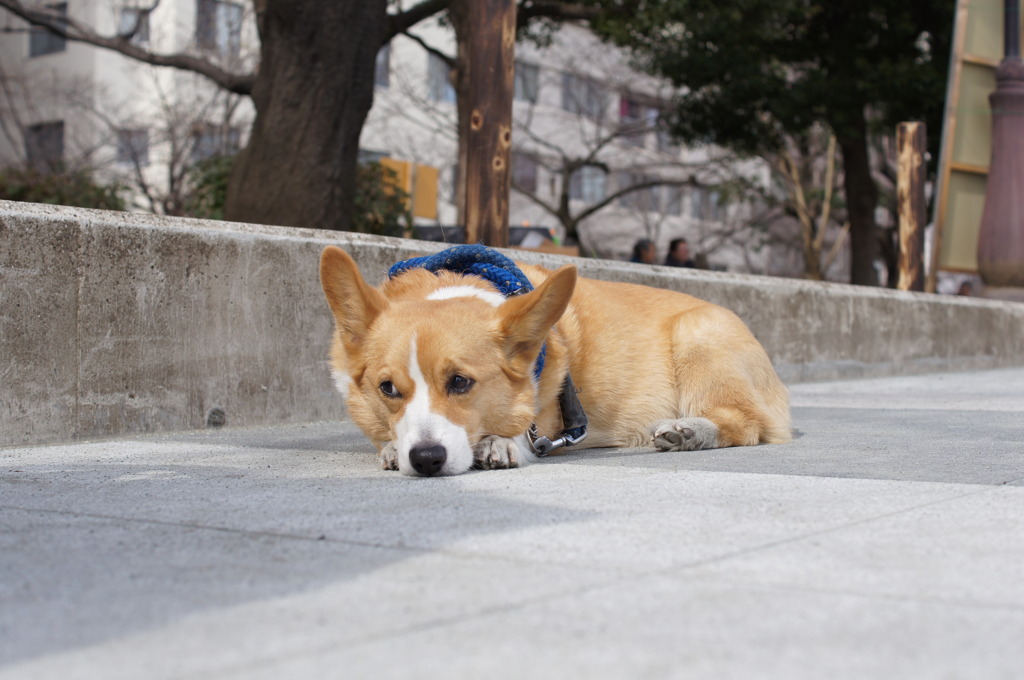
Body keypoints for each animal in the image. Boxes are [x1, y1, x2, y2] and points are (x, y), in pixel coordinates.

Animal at [319, 245, 790, 477]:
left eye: (460, 382)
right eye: (388, 388)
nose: (426, 460)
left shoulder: (545, 413)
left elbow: (522, 428)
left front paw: (501, 443)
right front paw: (391, 449)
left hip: (699, 339)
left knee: (746, 424)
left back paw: (688, 431)